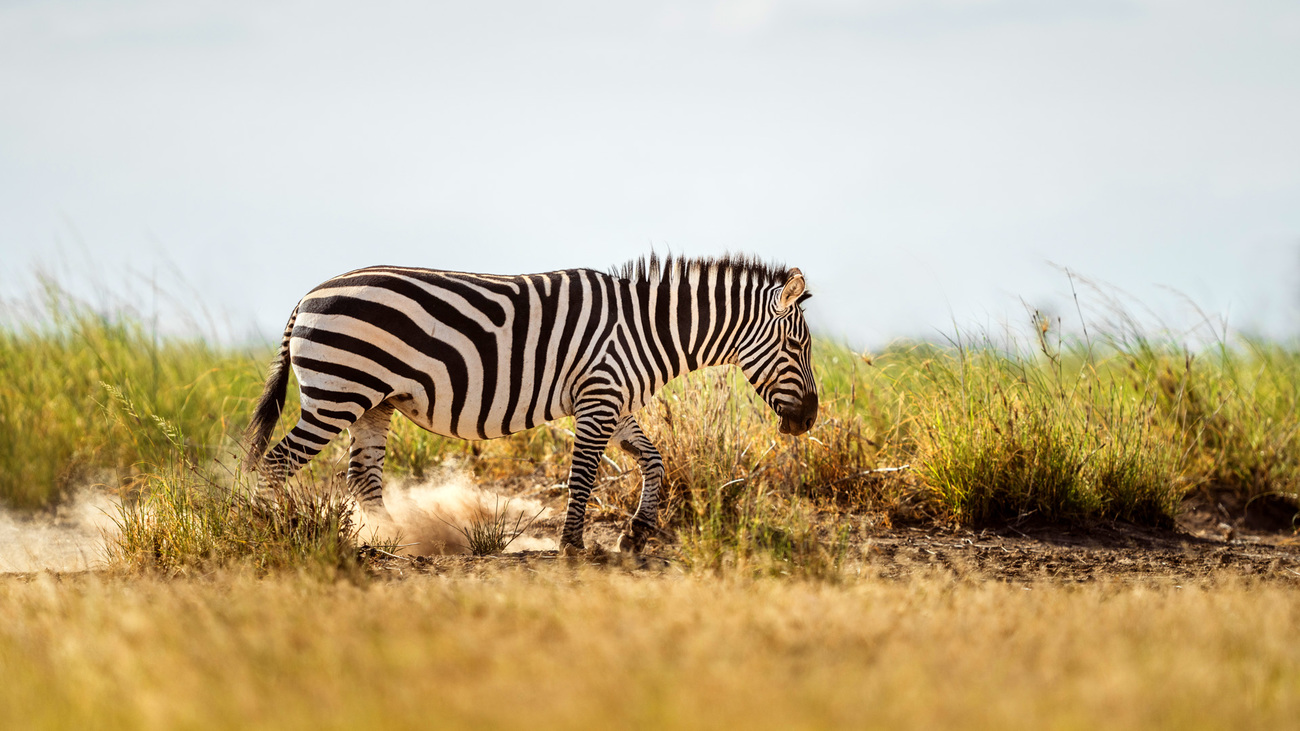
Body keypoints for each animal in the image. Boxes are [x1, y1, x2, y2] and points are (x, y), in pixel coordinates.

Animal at [243, 253, 811, 548]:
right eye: (797, 346)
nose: (809, 421)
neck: (648, 331)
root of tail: (307, 296)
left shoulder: (613, 400)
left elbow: (654, 460)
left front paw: (637, 532)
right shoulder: (598, 398)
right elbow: (583, 476)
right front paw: (572, 545)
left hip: (372, 403)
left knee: (362, 478)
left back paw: (394, 539)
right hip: (337, 395)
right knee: (275, 464)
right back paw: (274, 528)